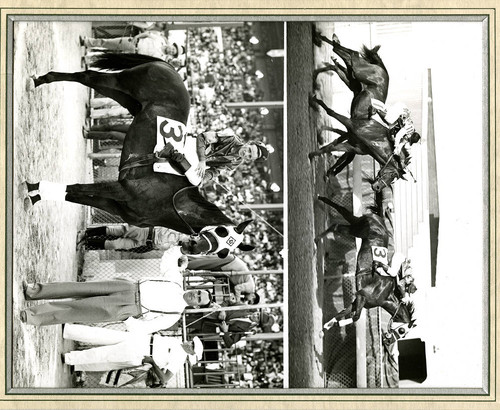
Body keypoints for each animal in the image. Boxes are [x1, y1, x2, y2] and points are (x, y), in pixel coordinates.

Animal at [24, 51, 254, 256]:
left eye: (224, 251)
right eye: (221, 233)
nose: (193, 248)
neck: (169, 201)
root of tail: (170, 67)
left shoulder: (116, 206)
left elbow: (72, 195)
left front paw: (37, 196)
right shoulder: (120, 189)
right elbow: (77, 188)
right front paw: (33, 188)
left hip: (126, 99)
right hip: (122, 82)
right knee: (87, 76)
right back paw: (39, 81)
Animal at [314, 195, 416, 340]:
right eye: (402, 331)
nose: (388, 340)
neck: (386, 295)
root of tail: (378, 219)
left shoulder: (357, 301)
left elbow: (342, 313)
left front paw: (326, 327)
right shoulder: (362, 296)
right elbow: (356, 317)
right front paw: (335, 325)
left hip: (356, 225)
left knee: (340, 218)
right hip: (359, 229)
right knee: (337, 224)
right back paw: (317, 236)